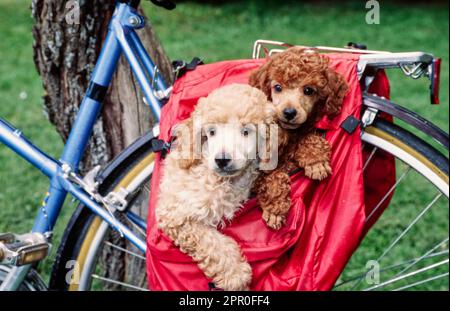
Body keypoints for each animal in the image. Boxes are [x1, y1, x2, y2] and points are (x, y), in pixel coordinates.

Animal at [155, 84, 276, 292]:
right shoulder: (175, 214)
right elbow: (211, 242)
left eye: (246, 131)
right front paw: (236, 275)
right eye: (211, 132)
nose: (222, 160)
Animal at [250, 47, 348, 230]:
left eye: (309, 90)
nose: (289, 113)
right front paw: (275, 210)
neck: (292, 134)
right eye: (277, 87)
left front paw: (316, 162)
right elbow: (271, 176)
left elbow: (310, 137)